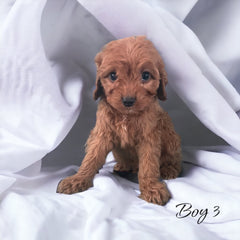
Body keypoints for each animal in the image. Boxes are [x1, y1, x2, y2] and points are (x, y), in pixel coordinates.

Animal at [57, 36, 182, 205]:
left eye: (146, 76)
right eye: (112, 76)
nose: (128, 101)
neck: (126, 115)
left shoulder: (149, 137)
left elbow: (148, 164)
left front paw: (151, 188)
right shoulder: (102, 133)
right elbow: (91, 157)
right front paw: (77, 179)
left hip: (171, 137)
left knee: (173, 159)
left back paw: (169, 169)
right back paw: (123, 167)